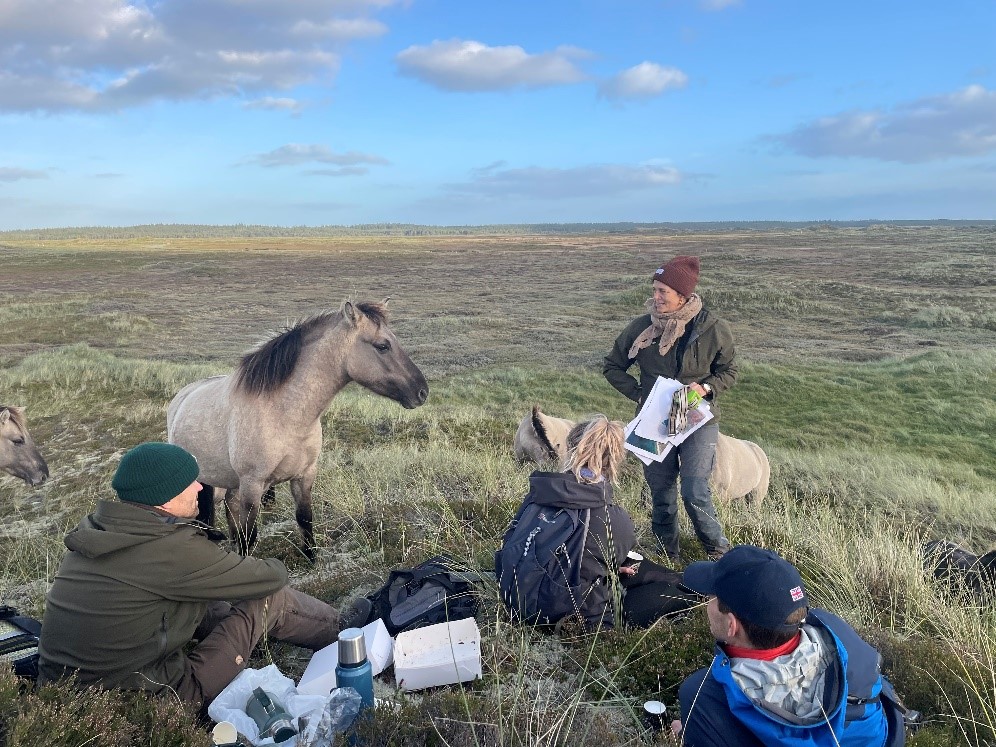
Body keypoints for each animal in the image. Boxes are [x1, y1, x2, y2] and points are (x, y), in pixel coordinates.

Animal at [166, 300, 428, 560]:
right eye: (382, 346)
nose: (422, 391)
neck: (286, 415)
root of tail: (182, 396)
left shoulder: (304, 476)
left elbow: (304, 519)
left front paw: (311, 560)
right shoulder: (252, 484)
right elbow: (250, 536)